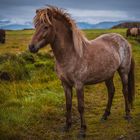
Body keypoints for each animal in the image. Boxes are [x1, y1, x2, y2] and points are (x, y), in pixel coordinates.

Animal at [28, 6, 135, 135]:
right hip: (108, 75)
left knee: (125, 91)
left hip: (123, 71)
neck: (71, 54)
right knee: (111, 91)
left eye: (46, 27)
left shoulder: (79, 85)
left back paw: (128, 115)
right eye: (35, 26)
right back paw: (105, 115)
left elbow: (80, 106)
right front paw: (67, 126)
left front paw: (82, 130)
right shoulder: (65, 84)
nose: (31, 47)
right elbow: (68, 105)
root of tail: (124, 40)